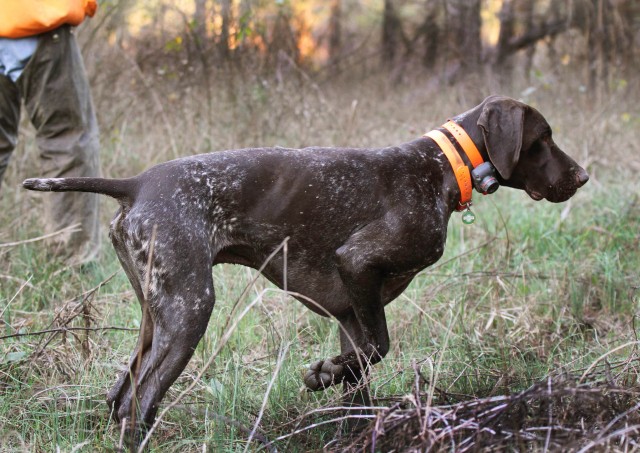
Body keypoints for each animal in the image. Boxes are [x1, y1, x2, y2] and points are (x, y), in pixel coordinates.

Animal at [21, 95, 592, 438]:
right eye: (542, 139)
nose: (583, 176)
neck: (441, 169)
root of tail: (135, 183)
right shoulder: (357, 265)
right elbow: (377, 348)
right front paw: (322, 374)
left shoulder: (349, 309)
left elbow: (362, 370)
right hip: (189, 311)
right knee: (138, 401)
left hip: (155, 315)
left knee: (121, 395)